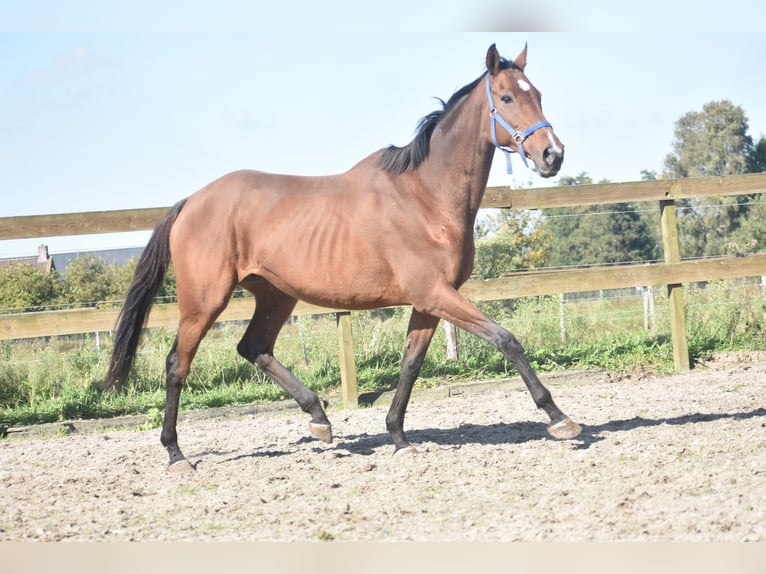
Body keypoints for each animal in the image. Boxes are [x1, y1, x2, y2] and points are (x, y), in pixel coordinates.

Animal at [102, 42, 584, 470]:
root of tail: (192, 201)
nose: (553, 154)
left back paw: (320, 419)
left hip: (276, 295)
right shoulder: (435, 294)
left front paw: (398, 437)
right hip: (204, 301)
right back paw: (176, 454)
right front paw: (559, 418)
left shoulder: (429, 301)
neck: (426, 198)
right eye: (506, 97)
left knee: (253, 347)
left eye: (537, 94)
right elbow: (506, 339)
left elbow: (410, 365)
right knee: (176, 365)